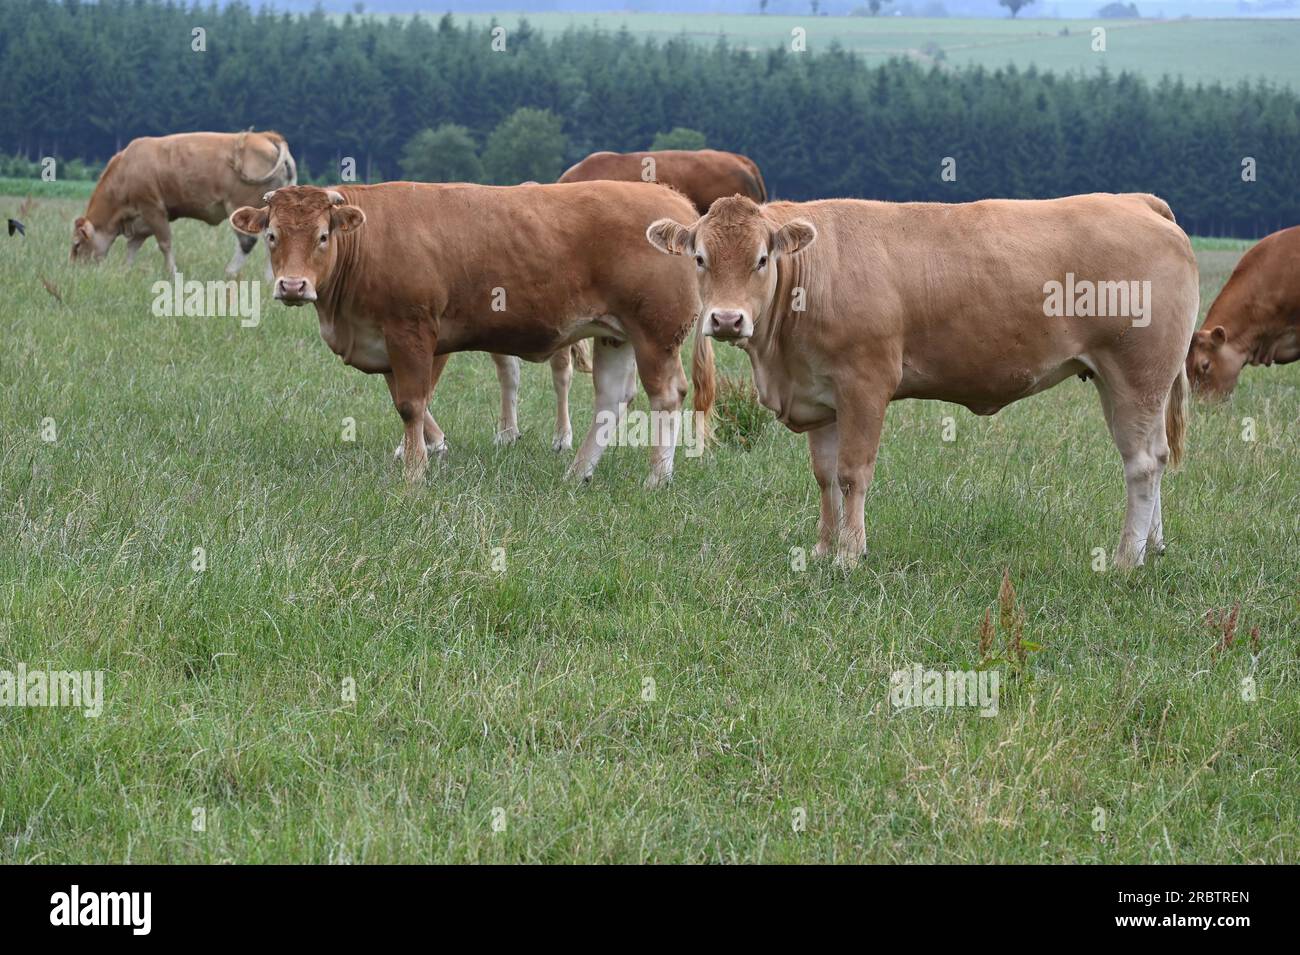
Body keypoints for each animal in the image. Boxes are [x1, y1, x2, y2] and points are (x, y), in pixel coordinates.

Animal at [71, 129, 297, 276]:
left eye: (77, 244)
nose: (75, 270)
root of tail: (265, 136)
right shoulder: (141, 220)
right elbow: (133, 245)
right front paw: (125, 269)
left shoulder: (153, 208)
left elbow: (164, 243)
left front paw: (172, 272)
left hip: (240, 207)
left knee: (248, 242)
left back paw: (232, 272)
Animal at [228, 184, 707, 488]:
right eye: (272, 235)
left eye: (323, 235)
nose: (293, 286)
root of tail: (676, 202)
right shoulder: (385, 343)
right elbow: (409, 401)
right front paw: (427, 451)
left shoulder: (412, 331)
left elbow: (411, 404)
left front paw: (415, 473)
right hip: (616, 334)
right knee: (611, 399)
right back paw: (577, 472)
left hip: (656, 334)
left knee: (666, 396)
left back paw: (657, 476)